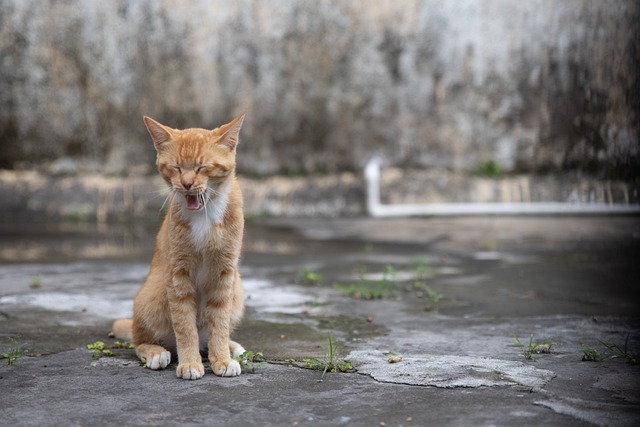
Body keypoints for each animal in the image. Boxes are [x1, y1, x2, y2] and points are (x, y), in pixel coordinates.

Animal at [112, 114, 245, 382]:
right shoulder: (178, 274)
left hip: (238, 288)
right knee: (138, 340)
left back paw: (230, 347)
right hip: (153, 291)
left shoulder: (225, 272)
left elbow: (220, 321)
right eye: (176, 168)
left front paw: (222, 358)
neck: (205, 214)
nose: (186, 183)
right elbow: (184, 325)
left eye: (202, 167)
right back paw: (155, 352)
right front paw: (191, 363)